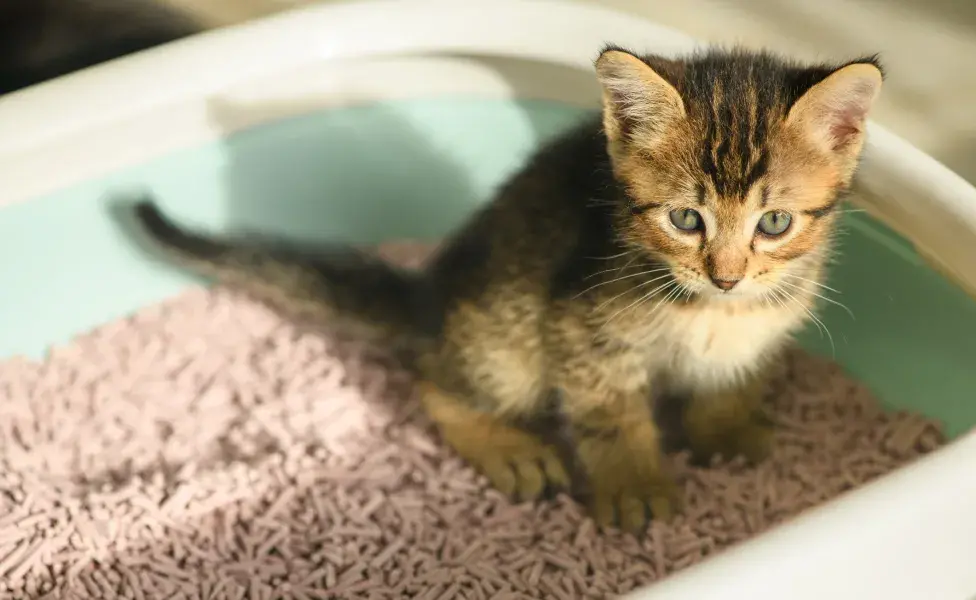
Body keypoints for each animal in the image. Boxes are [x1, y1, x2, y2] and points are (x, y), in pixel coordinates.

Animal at [118, 48, 880, 536]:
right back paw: (508, 445)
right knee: (434, 379)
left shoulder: (755, 330)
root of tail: (431, 296)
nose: (727, 273)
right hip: (506, 336)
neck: (714, 309)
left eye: (774, 223)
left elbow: (728, 380)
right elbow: (611, 415)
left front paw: (725, 427)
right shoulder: (579, 327)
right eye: (685, 219)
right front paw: (634, 484)